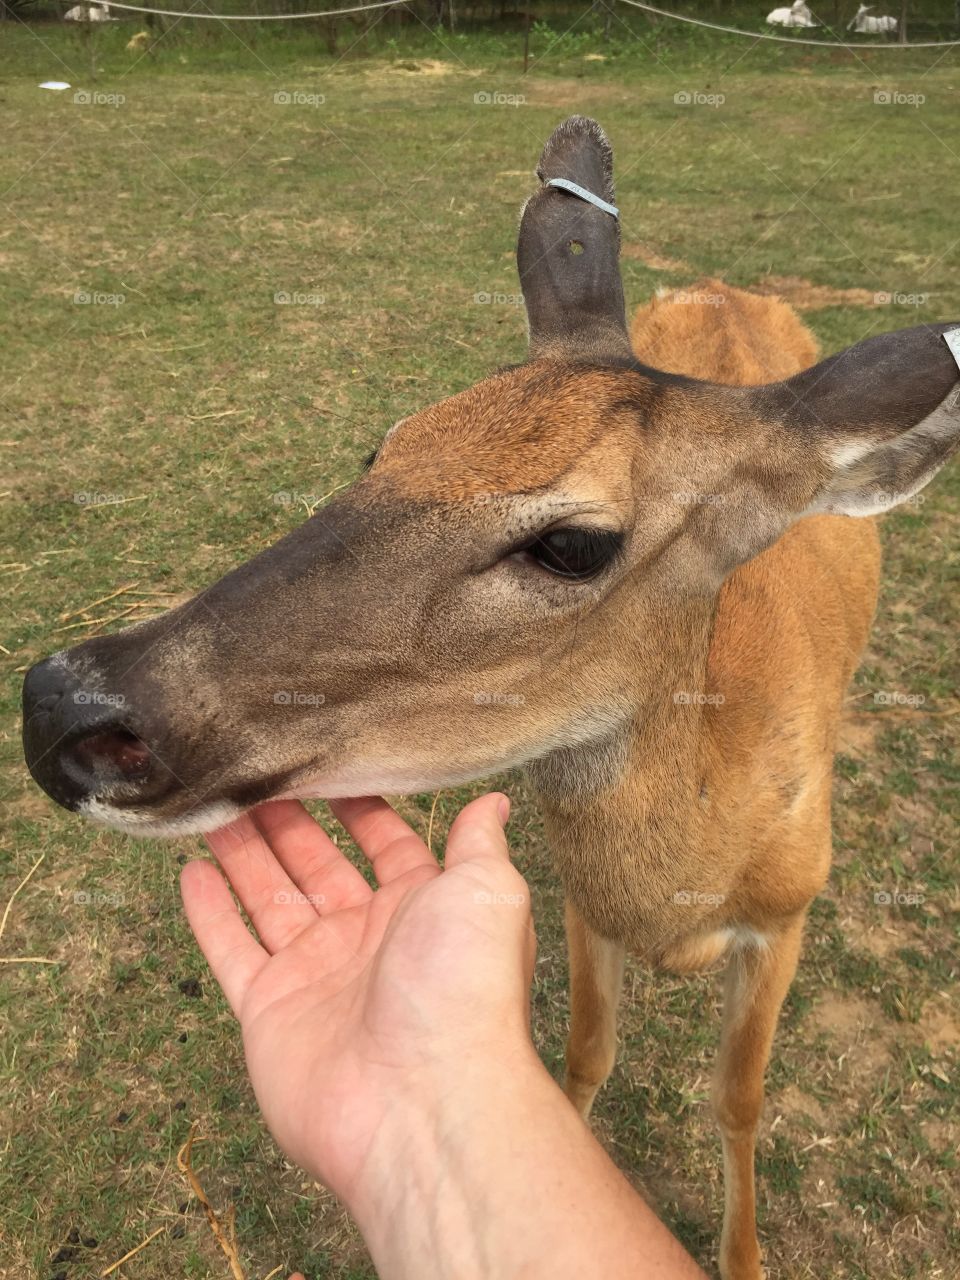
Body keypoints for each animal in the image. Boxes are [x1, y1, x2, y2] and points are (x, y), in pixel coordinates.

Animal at [22, 117, 960, 1269]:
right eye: (384, 444)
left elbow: (739, 1099)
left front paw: (742, 1257)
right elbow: (585, 1056)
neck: (687, 888)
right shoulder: (586, 904)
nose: (66, 707)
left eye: (572, 543)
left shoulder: (787, 913)